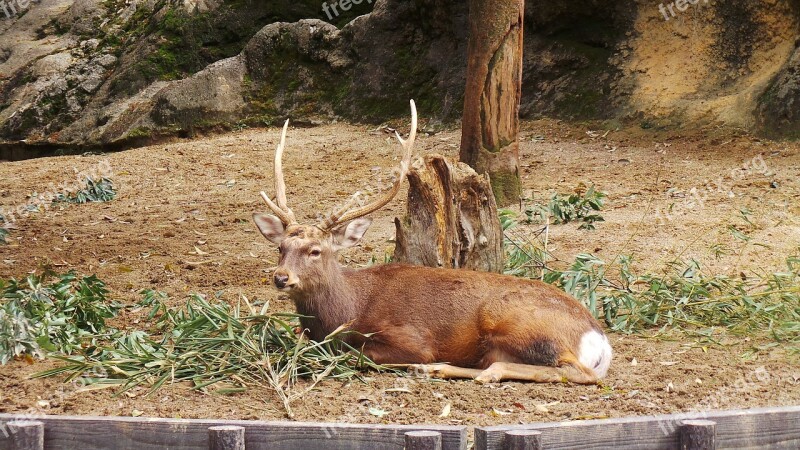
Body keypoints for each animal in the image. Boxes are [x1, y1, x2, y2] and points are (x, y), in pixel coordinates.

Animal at [253, 101, 608, 384]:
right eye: (280, 248)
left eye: (315, 250)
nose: (281, 277)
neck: (346, 313)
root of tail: (599, 340)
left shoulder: (412, 337)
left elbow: (361, 355)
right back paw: (439, 369)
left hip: (518, 322)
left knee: (574, 371)